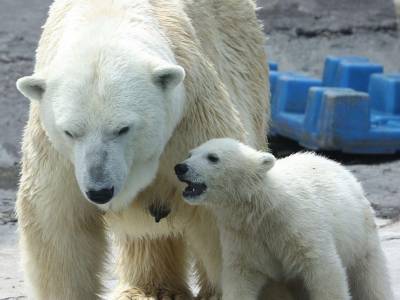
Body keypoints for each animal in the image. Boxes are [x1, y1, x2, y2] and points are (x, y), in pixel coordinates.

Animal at [15, 0, 280, 298]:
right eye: (70, 132)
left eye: (123, 128)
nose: (99, 191)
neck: (106, 18)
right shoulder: (56, 154)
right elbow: (58, 223)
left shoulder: (191, 118)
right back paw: (151, 289)